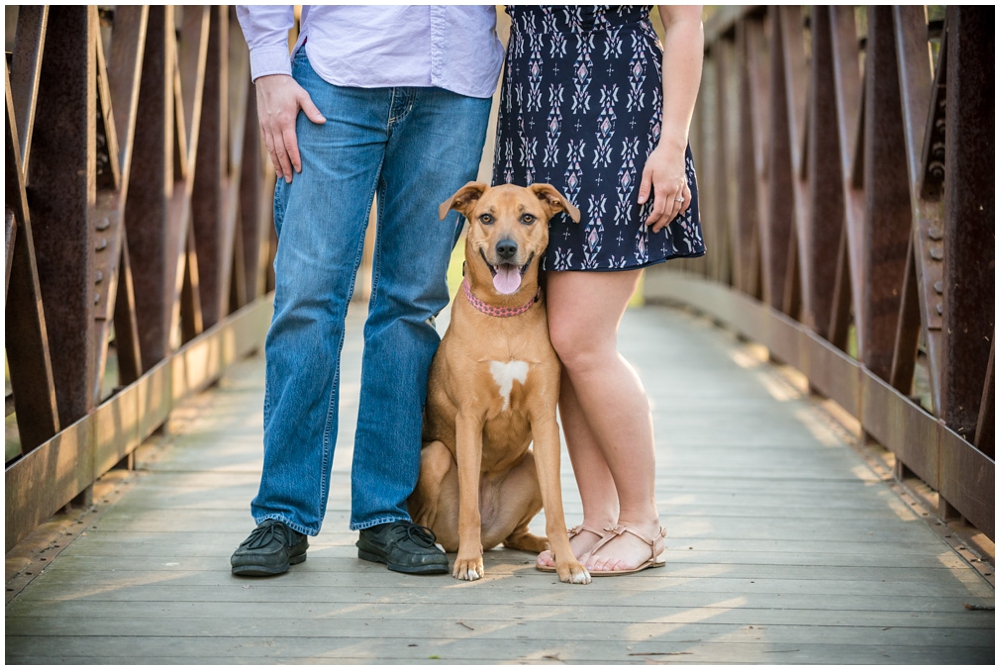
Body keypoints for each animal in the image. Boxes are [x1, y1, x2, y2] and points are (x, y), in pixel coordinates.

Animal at [406, 181, 588, 584]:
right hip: (436, 456)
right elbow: (469, 509)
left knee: (515, 535)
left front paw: (569, 563)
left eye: (528, 217)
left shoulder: (544, 421)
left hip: (533, 465)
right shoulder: (469, 419)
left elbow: (557, 508)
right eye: (486, 217)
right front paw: (468, 562)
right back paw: (440, 547)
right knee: (432, 520)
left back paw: (541, 545)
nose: (506, 248)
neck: (505, 315)